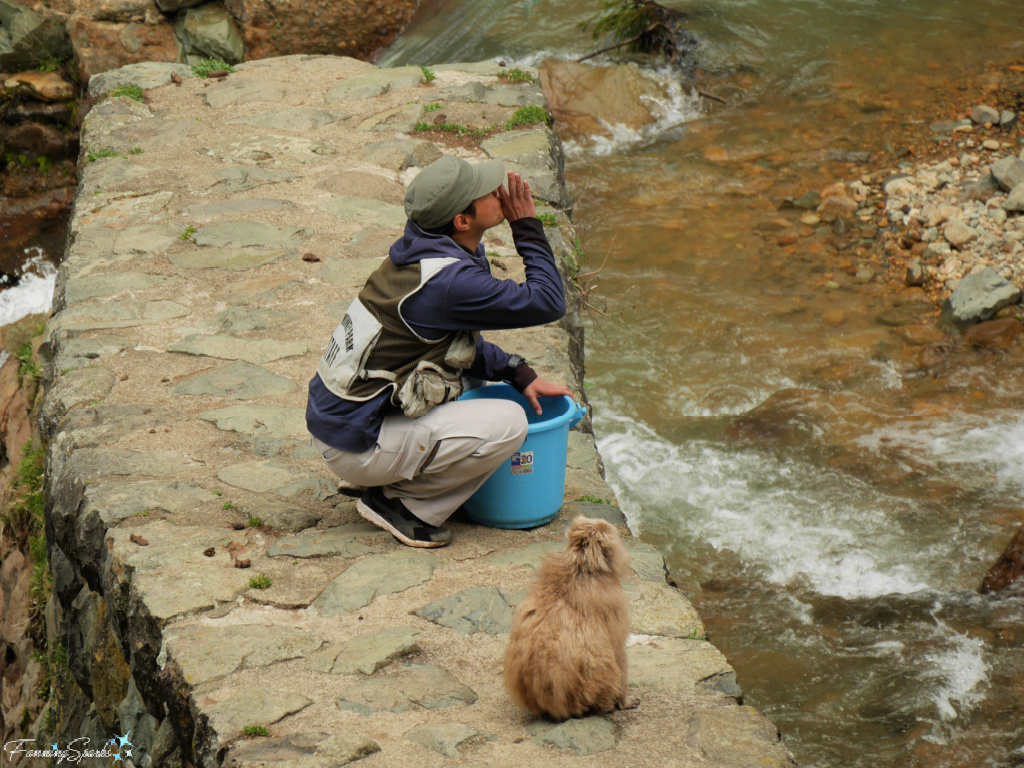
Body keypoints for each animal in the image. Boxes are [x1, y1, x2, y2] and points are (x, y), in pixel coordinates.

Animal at [499, 518, 634, 720]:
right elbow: (617, 650)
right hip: (590, 688)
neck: (581, 567)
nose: (623, 542)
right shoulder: (612, 598)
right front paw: (624, 702)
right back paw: (606, 706)